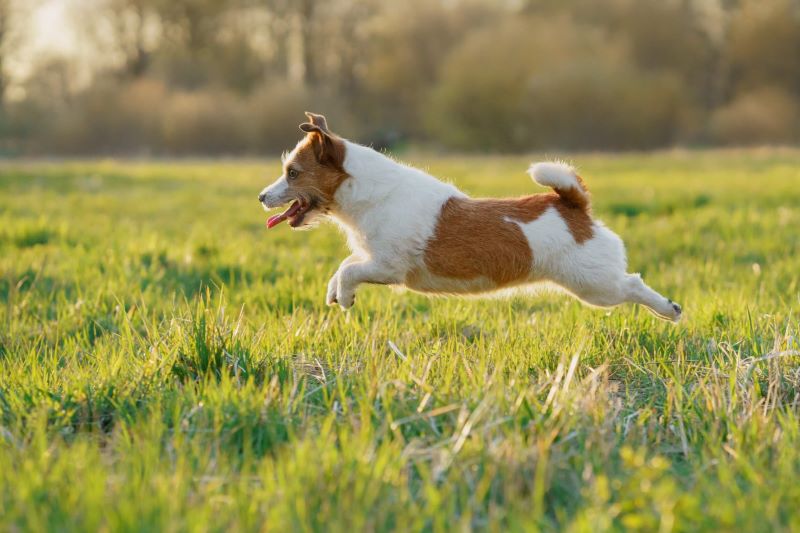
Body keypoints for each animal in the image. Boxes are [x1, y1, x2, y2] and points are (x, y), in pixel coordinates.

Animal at [260, 112, 680, 320]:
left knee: (633, 285)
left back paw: (669, 310)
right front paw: (336, 293)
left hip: (596, 287)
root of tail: (574, 206)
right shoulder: (371, 258)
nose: (262, 197)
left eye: (292, 173)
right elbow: (345, 265)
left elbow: (350, 270)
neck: (369, 192)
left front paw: (345, 296)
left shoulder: (388, 267)